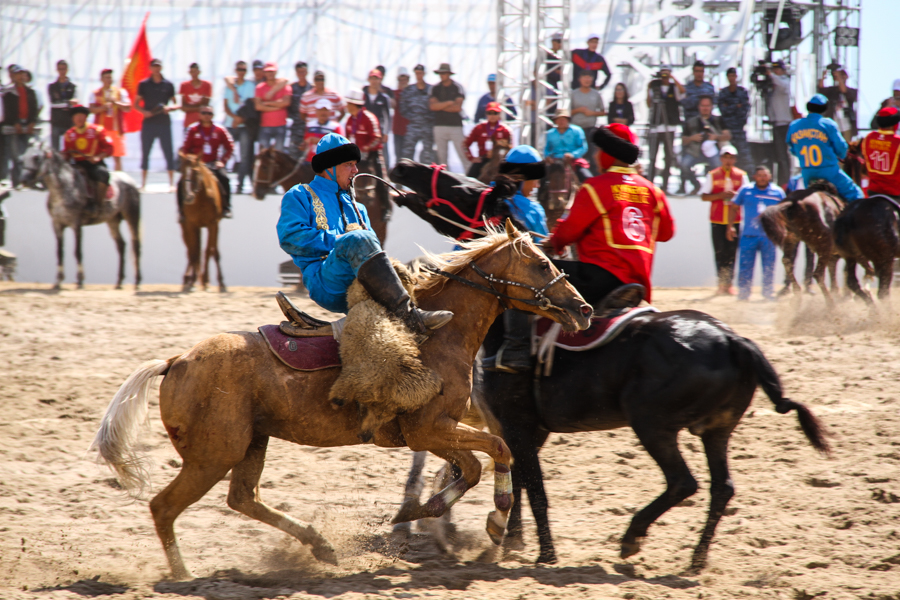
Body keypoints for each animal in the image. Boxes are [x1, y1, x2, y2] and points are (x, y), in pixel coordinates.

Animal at [18, 141, 141, 290]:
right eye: (22, 158)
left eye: (36, 157)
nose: (23, 180)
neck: (65, 187)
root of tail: (129, 180)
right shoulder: (57, 224)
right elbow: (59, 252)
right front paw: (58, 281)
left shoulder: (76, 224)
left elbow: (77, 251)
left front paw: (80, 280)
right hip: (112, 220)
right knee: (121, 245)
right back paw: (119, 282)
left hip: (132, 216)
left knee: (136, 245)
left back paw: (137, 281)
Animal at [91, 221, 596, 580]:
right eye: (541, 265)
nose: (583, 308)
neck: (437, 335)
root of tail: (177, 361)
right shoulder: (428, 429)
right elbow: (497, 450)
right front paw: (490, 521)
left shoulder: (436, 432)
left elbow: (474, 465)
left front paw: (422, 513)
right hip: (213, 454)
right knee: (165, 507)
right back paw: (184, 575)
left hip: (250, 444)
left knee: (243, 499)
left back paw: (322, 546)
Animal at [177, 156, 224, 294]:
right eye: (182, 170)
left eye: (196, 171)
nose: (188, 197)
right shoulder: (191, 225)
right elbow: (194, 252)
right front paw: (193, 281)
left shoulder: (213, 224)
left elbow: (209, 251)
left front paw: (212, 282)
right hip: (185, 228)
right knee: (191, 251)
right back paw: (189, 280)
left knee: (202, 250)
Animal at [478, 310, 828, 572]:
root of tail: (733, 341)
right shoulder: (527, 431)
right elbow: (520, 481)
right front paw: (512, 541)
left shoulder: (518, 426)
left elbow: (535, 490)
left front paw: (544, 554)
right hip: (716, 431)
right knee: (721, 488)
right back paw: (696, 559)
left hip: (651, 425)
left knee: (682, 482)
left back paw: (632, 536)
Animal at [760, 180, 844, 308]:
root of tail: (793, 202)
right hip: (825, 245)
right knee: (818, 274)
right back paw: (830, 304)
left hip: (792, 238)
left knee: (787, 261)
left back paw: (797, 298)